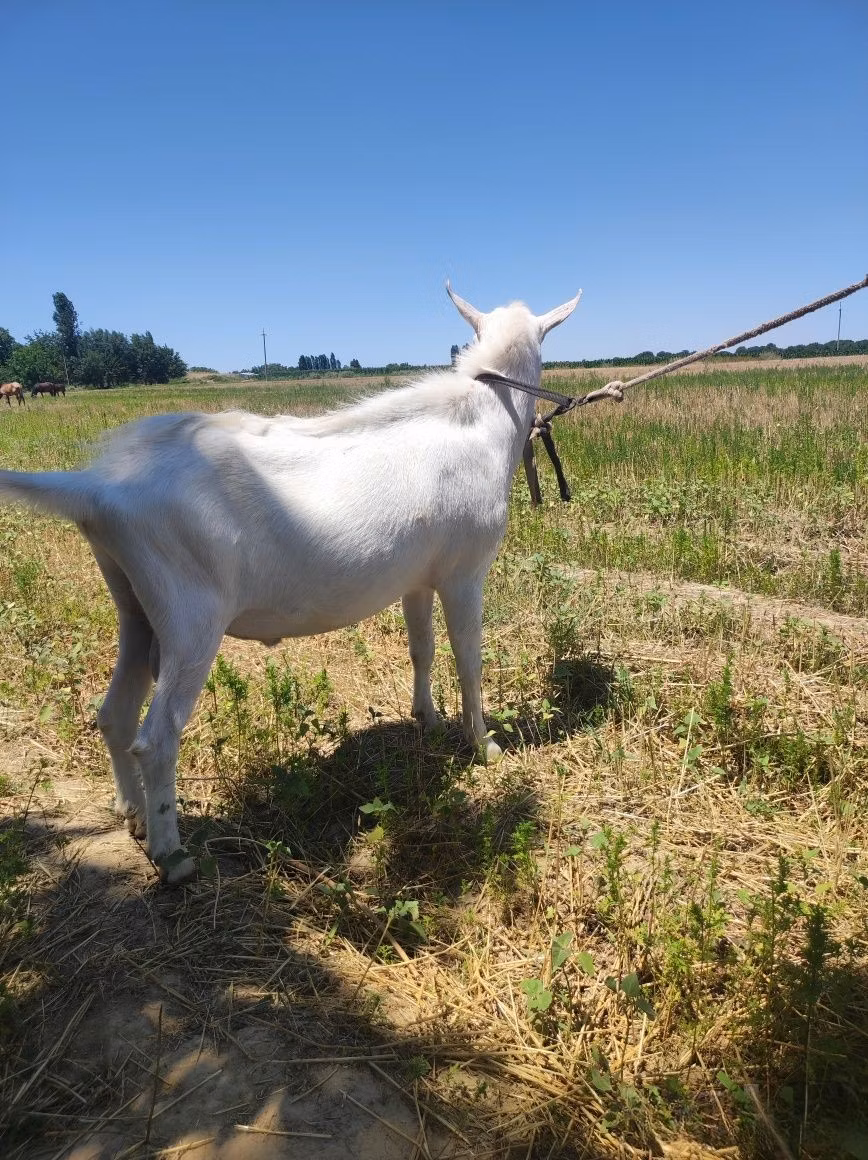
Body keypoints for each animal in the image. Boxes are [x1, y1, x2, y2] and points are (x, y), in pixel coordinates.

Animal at [0, 285, 581, 883]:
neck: (482, 418)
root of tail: (97, 491)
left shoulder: (418, 578)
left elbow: (420, 648)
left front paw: (428, 718)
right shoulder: (465, 572)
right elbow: (468, 658)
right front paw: (483, 744)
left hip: (134, 603)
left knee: (114, 712)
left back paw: (132, 814)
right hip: (192, 619)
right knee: (157, 739)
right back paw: (173, 856)